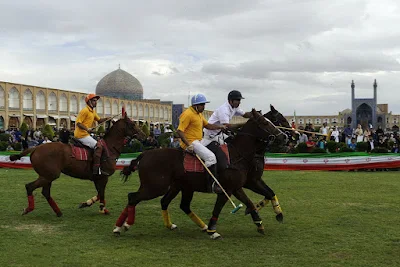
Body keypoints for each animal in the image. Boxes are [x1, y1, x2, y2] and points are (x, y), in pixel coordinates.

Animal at [9, 114, 145, 218]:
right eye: (132, 124)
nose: (143, 135)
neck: (110, 148)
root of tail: (36, 147)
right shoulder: (103, 177)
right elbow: (101, 193)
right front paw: (101, 208)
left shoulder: (97, 178)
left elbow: (100, 193)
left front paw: (88, 204)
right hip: (49, 175)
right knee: (29, 187)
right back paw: (28, 209)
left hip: (47, 176)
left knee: (45, 192)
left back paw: (58, 212)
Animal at [112, 110, 288, 240]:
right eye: (265, 122)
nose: (285, 136)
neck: (238, 154)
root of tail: (144, 154)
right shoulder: (227, 189)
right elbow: (219, 208)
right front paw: (212, 230)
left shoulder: (242, 185)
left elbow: (257, 199)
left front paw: (264, 221)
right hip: (155, 186)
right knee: (133, 197)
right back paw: (122, 226)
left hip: (179, 186)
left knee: (170, 203)